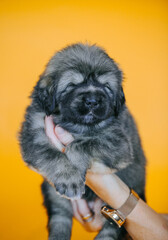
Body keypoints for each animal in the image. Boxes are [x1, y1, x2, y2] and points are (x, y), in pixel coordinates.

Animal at [19, 43, 146, 240]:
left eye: (106, 87)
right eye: (73, 85)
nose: (92, 101)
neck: (76, 125)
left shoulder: (119, 144)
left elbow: (84, 144)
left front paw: (76, 162)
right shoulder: (33, 134)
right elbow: (52, 154)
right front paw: (69, 178)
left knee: (112, 228)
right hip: (52, 192)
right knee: (60, 216)